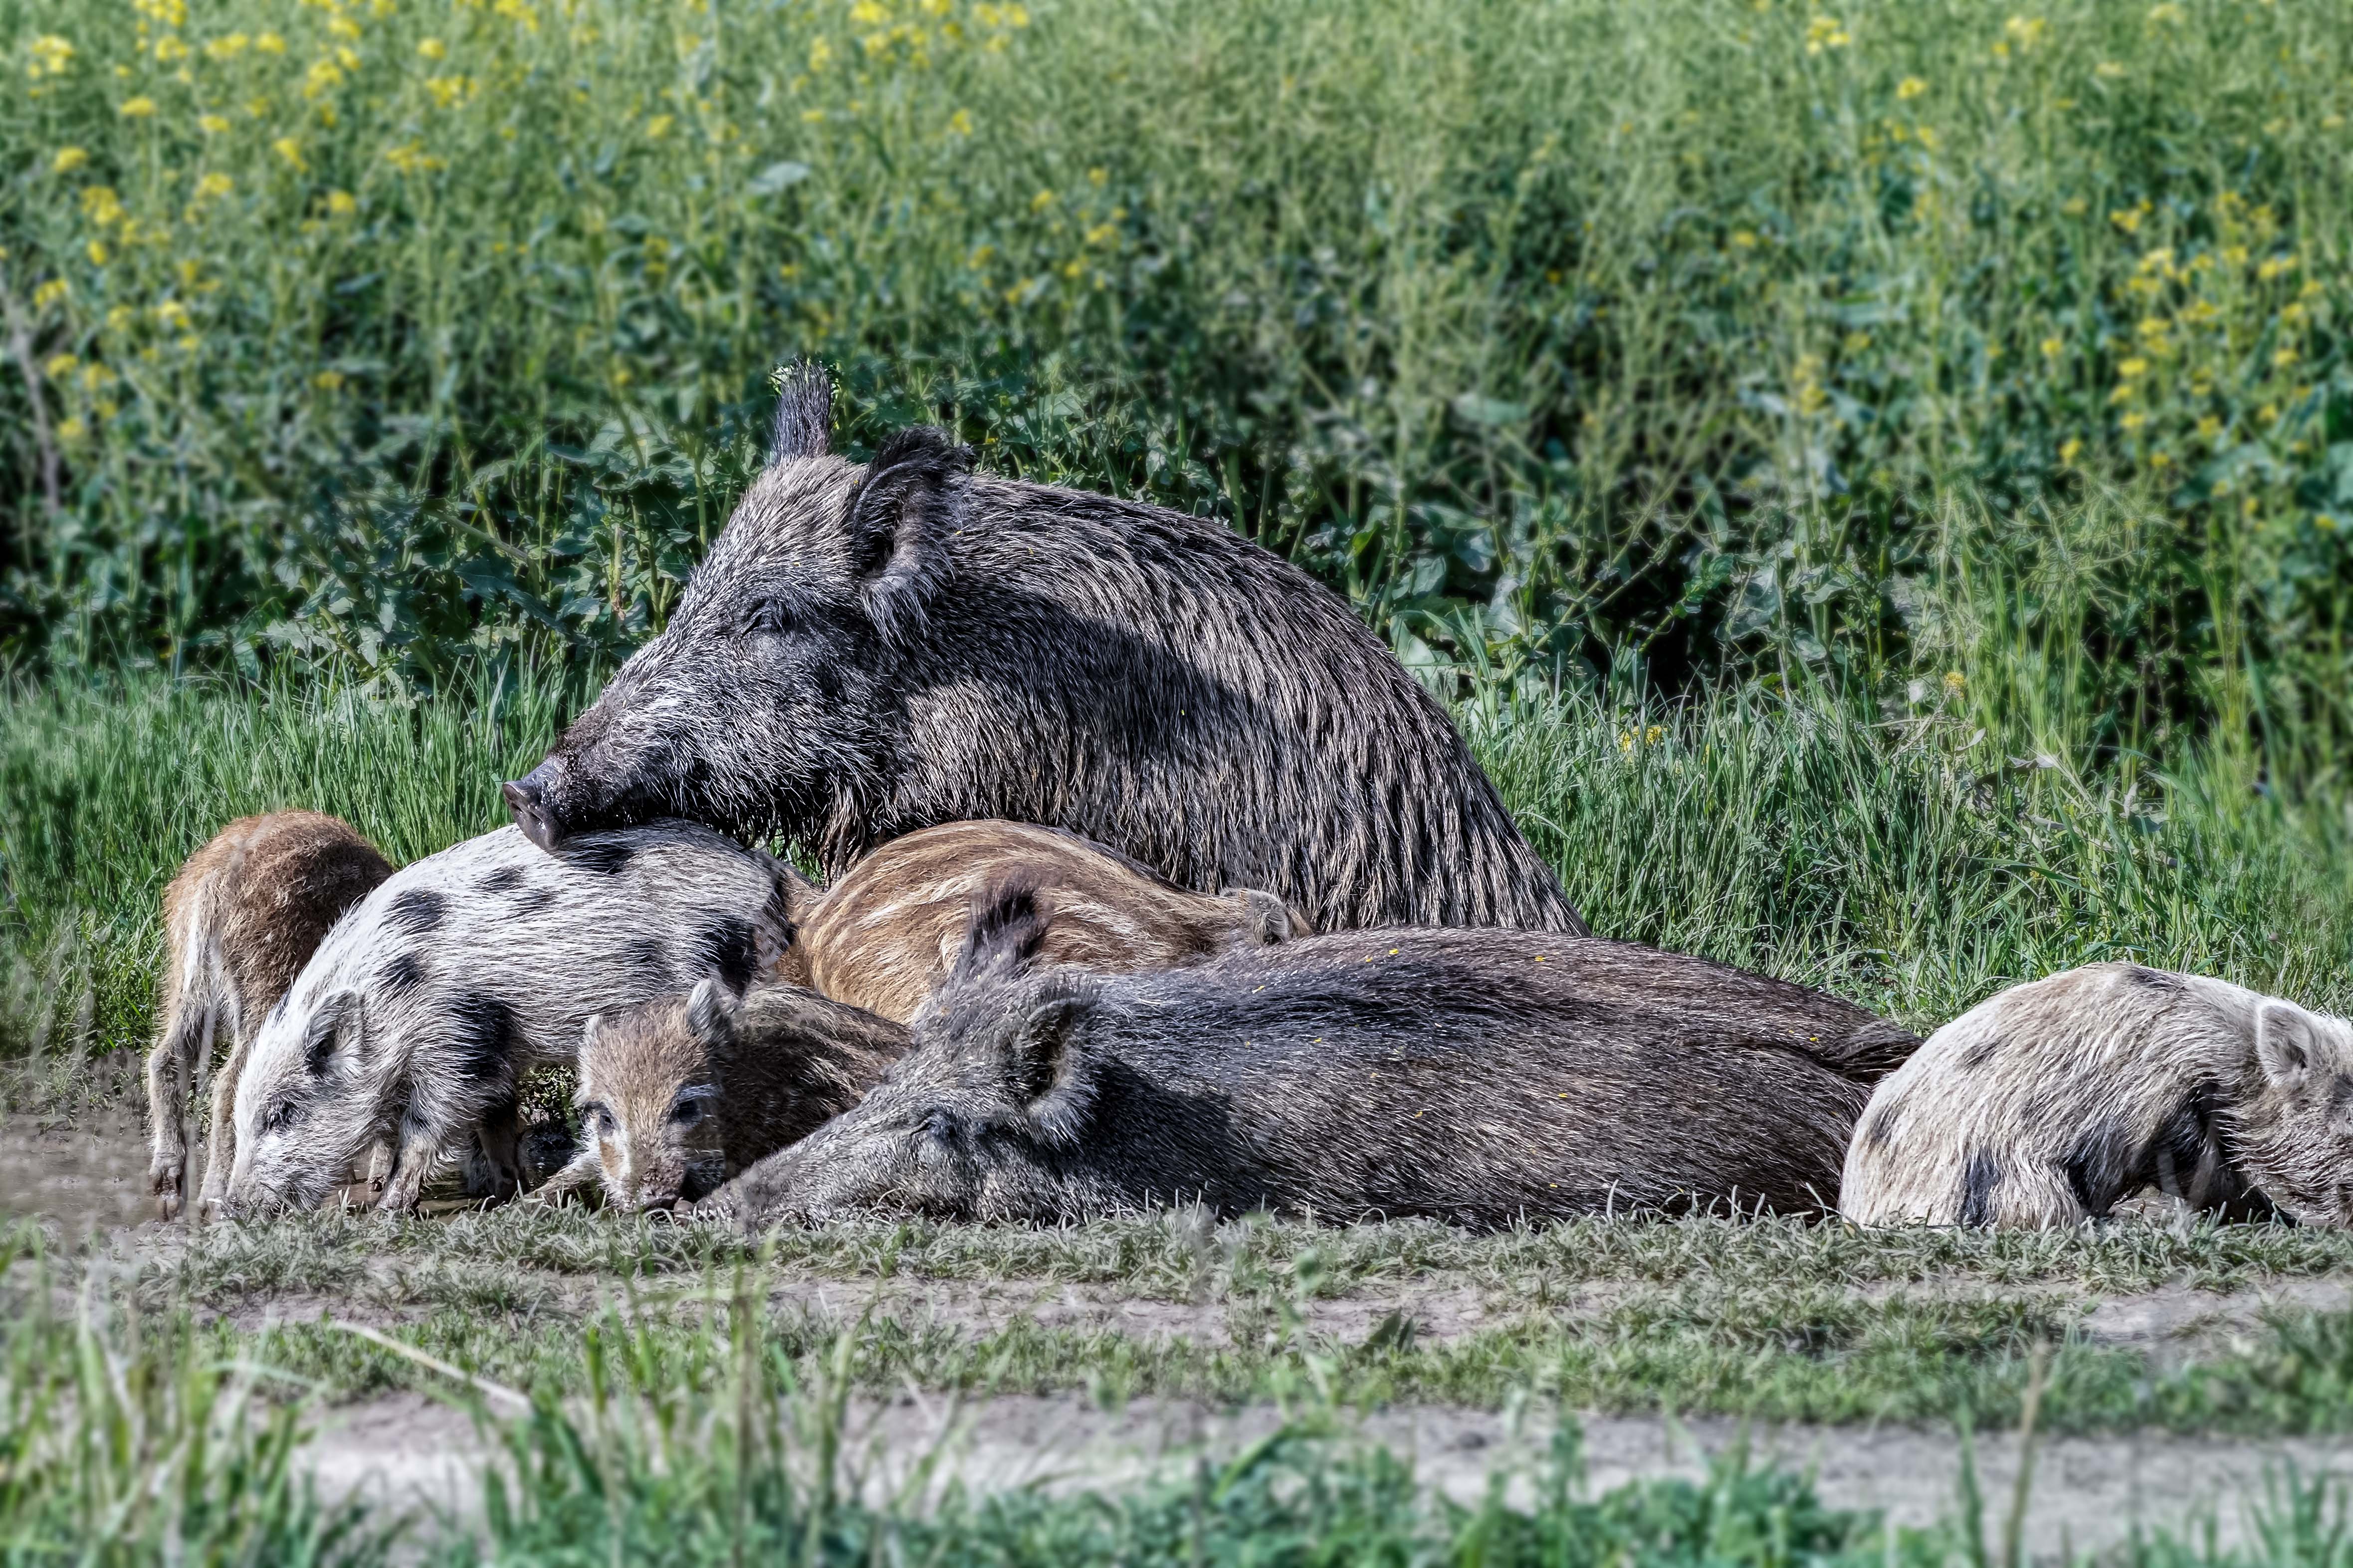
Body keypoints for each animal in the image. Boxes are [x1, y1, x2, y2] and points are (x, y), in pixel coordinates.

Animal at [144, 812, 394, 1219]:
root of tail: (211, 882)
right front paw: (380, 1175)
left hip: (188, 975)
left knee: (166, 1056)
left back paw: (168, 1186)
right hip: (268, 978)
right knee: (231, 1083)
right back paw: (215, 1196)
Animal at [224, 821, 802, 1215]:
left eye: (282, 1114)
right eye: (243, 1117)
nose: (230, 1206)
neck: (395, 991)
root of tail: (776, 877)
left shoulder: (455, 1036)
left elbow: (427, 1126)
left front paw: (388, 1208)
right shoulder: (493, 1046)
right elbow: (496, 1115)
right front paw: (500, 1189)